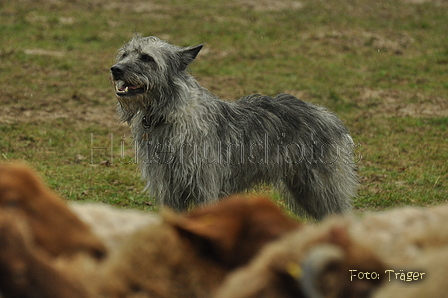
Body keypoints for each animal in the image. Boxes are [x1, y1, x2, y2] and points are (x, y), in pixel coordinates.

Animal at [110, 36, 358, 220]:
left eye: (147, 58)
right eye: (124, 54)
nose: (115, 69)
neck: (169, 114)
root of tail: (328, 115)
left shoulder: (205, 189)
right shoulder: (169, 193)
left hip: (320, 190)